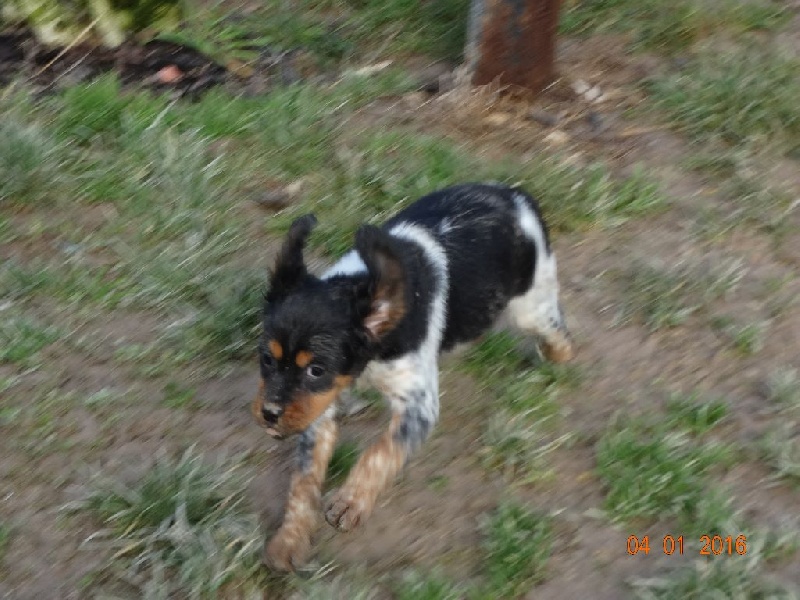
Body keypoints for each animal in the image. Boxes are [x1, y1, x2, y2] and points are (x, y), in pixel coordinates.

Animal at [252, 182, 574, 571]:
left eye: (316, 369)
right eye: (266, 358)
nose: (269, 414)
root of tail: (515, 194)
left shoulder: (417, 405)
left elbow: (381, 451)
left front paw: (351, 501)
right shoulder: (318, 411)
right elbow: (304, 480)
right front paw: (290, 540)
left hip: (531, 305)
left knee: (558, 330)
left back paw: (557, 358)